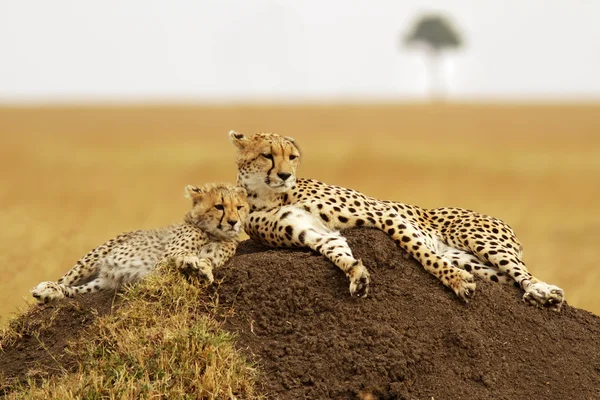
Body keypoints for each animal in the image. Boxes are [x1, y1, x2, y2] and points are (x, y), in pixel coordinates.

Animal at [29, 182, 246, 304]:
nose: (233, 222)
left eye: (239, 207)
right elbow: (177, 259)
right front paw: (189, 263)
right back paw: (47, 289)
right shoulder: (161, 264)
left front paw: (201, 269)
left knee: (74, 291)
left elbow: (208, 261)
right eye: (219, 206)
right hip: (92, 260)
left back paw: (51, 294)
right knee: (63, 281)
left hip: (103, 283)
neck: (212, 233)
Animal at [227, 132, 564, 312]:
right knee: (506, 278)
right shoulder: (315, 233)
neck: (270, 194)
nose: (286, 174)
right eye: (267, 155)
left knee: (524, 272)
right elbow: (338, 252)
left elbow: (421, 252)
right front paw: (358, 275)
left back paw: (542, 292)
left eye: (292, 156)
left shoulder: (383, 214)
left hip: (479, 239)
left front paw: (455, 281)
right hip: (473, 261)